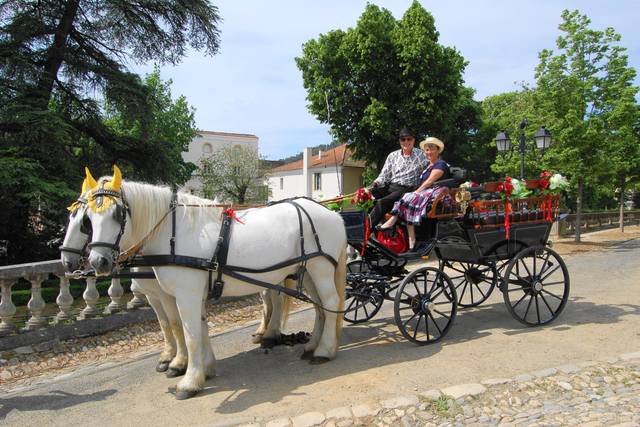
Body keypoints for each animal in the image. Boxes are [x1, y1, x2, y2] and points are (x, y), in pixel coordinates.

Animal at [84, 166, 350, 400]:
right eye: (88, 218)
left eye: (118, 213)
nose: (99, 261)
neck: (174, 232)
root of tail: (332, 215)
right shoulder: (193, 294)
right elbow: (199, 330)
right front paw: (206, 369)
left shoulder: (187, 294)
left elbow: (190, 335)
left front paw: (189, 382)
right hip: (309, 272)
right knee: (320, 308)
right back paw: (313, 345)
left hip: (320, 268)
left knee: (330, 303)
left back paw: (324, 350)